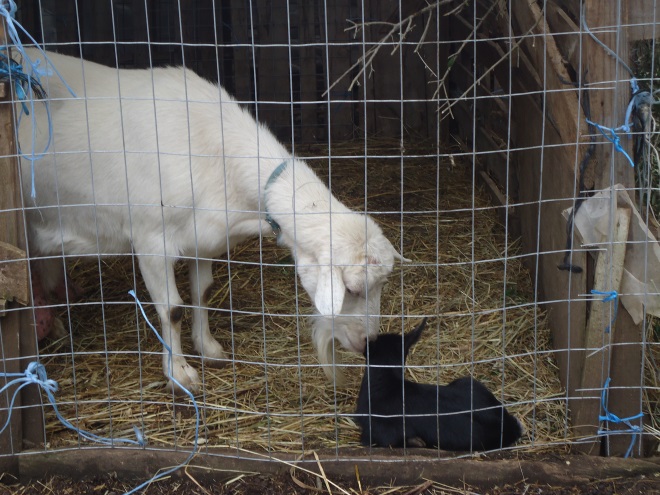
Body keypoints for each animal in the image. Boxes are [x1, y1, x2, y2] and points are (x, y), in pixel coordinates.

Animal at [19, 49, 407, 394]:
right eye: (352, 290)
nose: (369, 344)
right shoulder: (150, 240)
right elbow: (173, 309)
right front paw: (179, 375)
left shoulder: (203, 239)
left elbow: (202, 293)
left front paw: (209, 349)